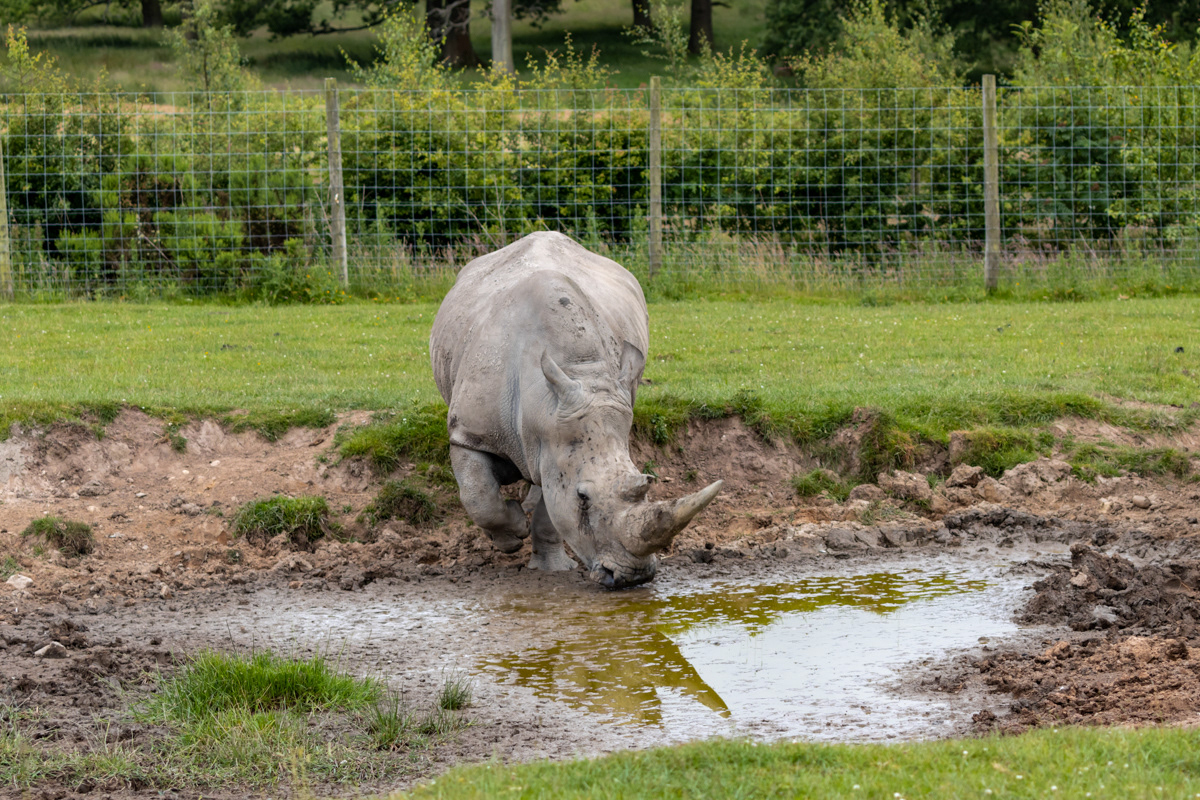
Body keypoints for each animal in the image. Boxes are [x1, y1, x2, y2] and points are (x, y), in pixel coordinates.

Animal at [429, 231, 723, 588]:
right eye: (583, 497)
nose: (633, 577)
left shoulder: (554, 441)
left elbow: (550, 508)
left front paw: (552, 568)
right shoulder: (470, 433)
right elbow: (478, 495)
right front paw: (513, 534)